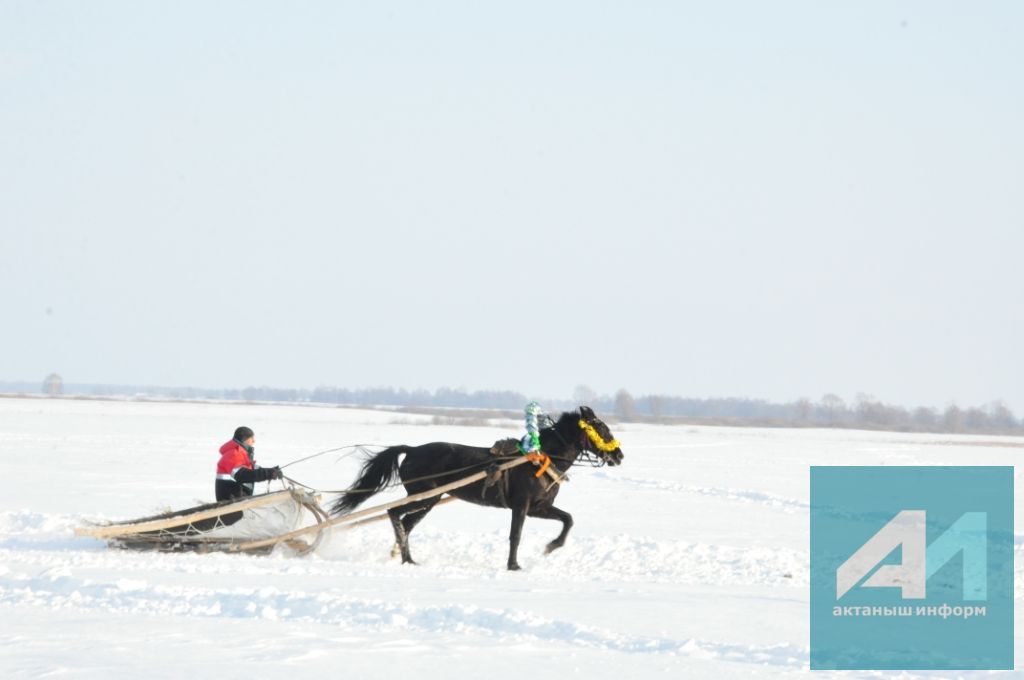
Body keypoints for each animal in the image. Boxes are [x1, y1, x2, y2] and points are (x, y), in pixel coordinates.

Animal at [333, 409, 622, 569]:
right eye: (601, 428)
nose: (619, 456)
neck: (539, 459)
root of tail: (412, 450)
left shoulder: (539, 507)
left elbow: (568, 519)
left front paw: (551, 546)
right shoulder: (521, 506)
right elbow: (515, 535)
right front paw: (513, 565)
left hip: (430, 500)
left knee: (406, 522)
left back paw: (404, 556)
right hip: (424, 495)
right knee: (394, 513)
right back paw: (405, 557)